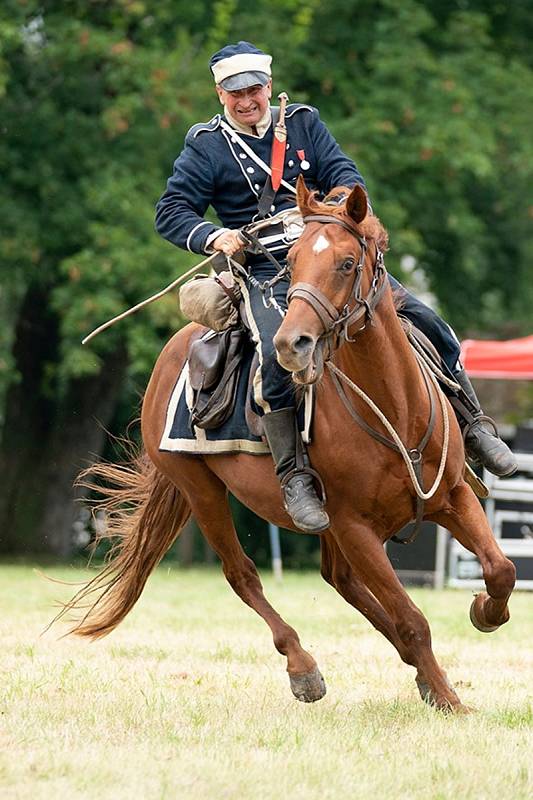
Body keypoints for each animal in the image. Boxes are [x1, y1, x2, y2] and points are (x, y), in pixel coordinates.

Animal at [61, 178, 516, 708]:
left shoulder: (453, 497)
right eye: (292, 260)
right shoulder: (354, 527)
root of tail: (172, 353)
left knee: (340, 580)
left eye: (347, 262)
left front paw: (485, 613)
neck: (394, 410)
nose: (290, 344)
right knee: (244, 575)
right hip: (202, 493)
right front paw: (448, 699)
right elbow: (412, 618)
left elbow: (501, 569)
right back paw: (304, 668)